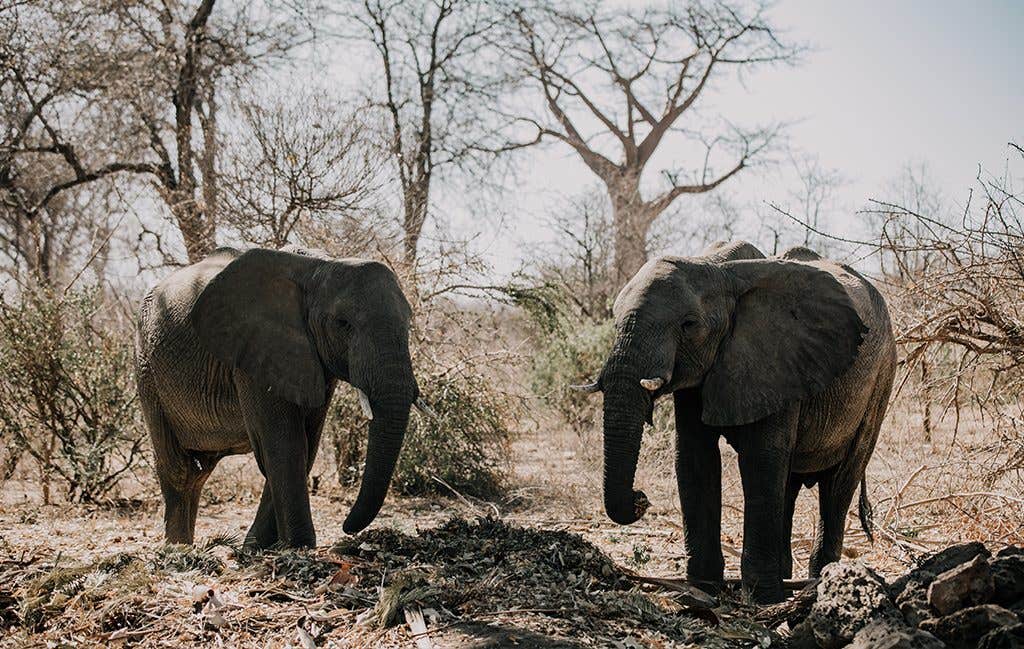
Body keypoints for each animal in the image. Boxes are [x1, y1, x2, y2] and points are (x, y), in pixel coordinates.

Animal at [135, 246, 428, 548]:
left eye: (408, 324)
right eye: (343, 324)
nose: (347, 529)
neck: (320, 267)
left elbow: (306, 442)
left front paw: (258, 546)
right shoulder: (254, 350)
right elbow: (285, 441)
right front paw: (297, 545)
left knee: (199, 470)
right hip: (146, 366)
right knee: (180, 468)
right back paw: (178, 548)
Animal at [578, 240, 896, 603]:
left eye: (688, 325)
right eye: (615, 323)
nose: (640, 498)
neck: (715, 268)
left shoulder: (776, 358)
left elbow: (760, 460)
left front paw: (761, 599)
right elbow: (695, 458)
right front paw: (702, 590)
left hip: (881, 379)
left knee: (840, 481)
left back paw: (819, 583)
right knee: (789, 482)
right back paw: (788, 579)